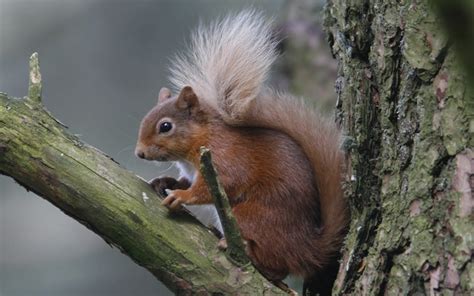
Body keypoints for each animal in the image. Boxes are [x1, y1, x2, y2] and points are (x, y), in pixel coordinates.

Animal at [134, 11, 348, 296]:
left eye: (165, 126)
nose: (139, 153)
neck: (200, 142)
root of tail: (307, 248)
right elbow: (186, 180)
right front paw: (165, 182)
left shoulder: (226, 159)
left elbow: (217, 185)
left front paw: (182, 196)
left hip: (252, 217)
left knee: (278, 265)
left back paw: (244, 250)